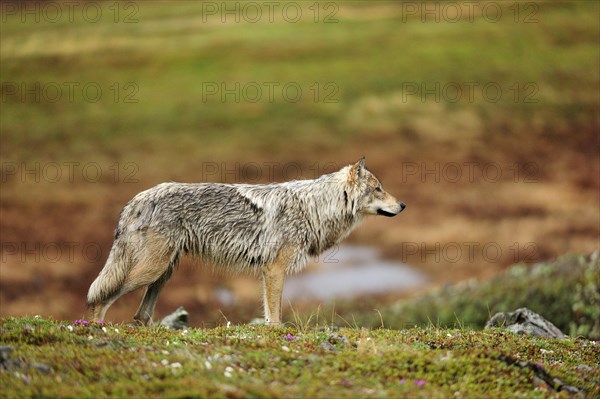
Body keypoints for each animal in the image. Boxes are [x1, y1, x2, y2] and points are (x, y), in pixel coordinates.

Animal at [86, 158, 406, 326]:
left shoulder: (271, 270)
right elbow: (274, 315)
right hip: (151, 271)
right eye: (379, 189)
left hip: (163, 273)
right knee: (99, 296)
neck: (314, 208)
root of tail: (137, 198)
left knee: (139, 314)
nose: (403, 205)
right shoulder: (274, 269)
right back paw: (94, 329)